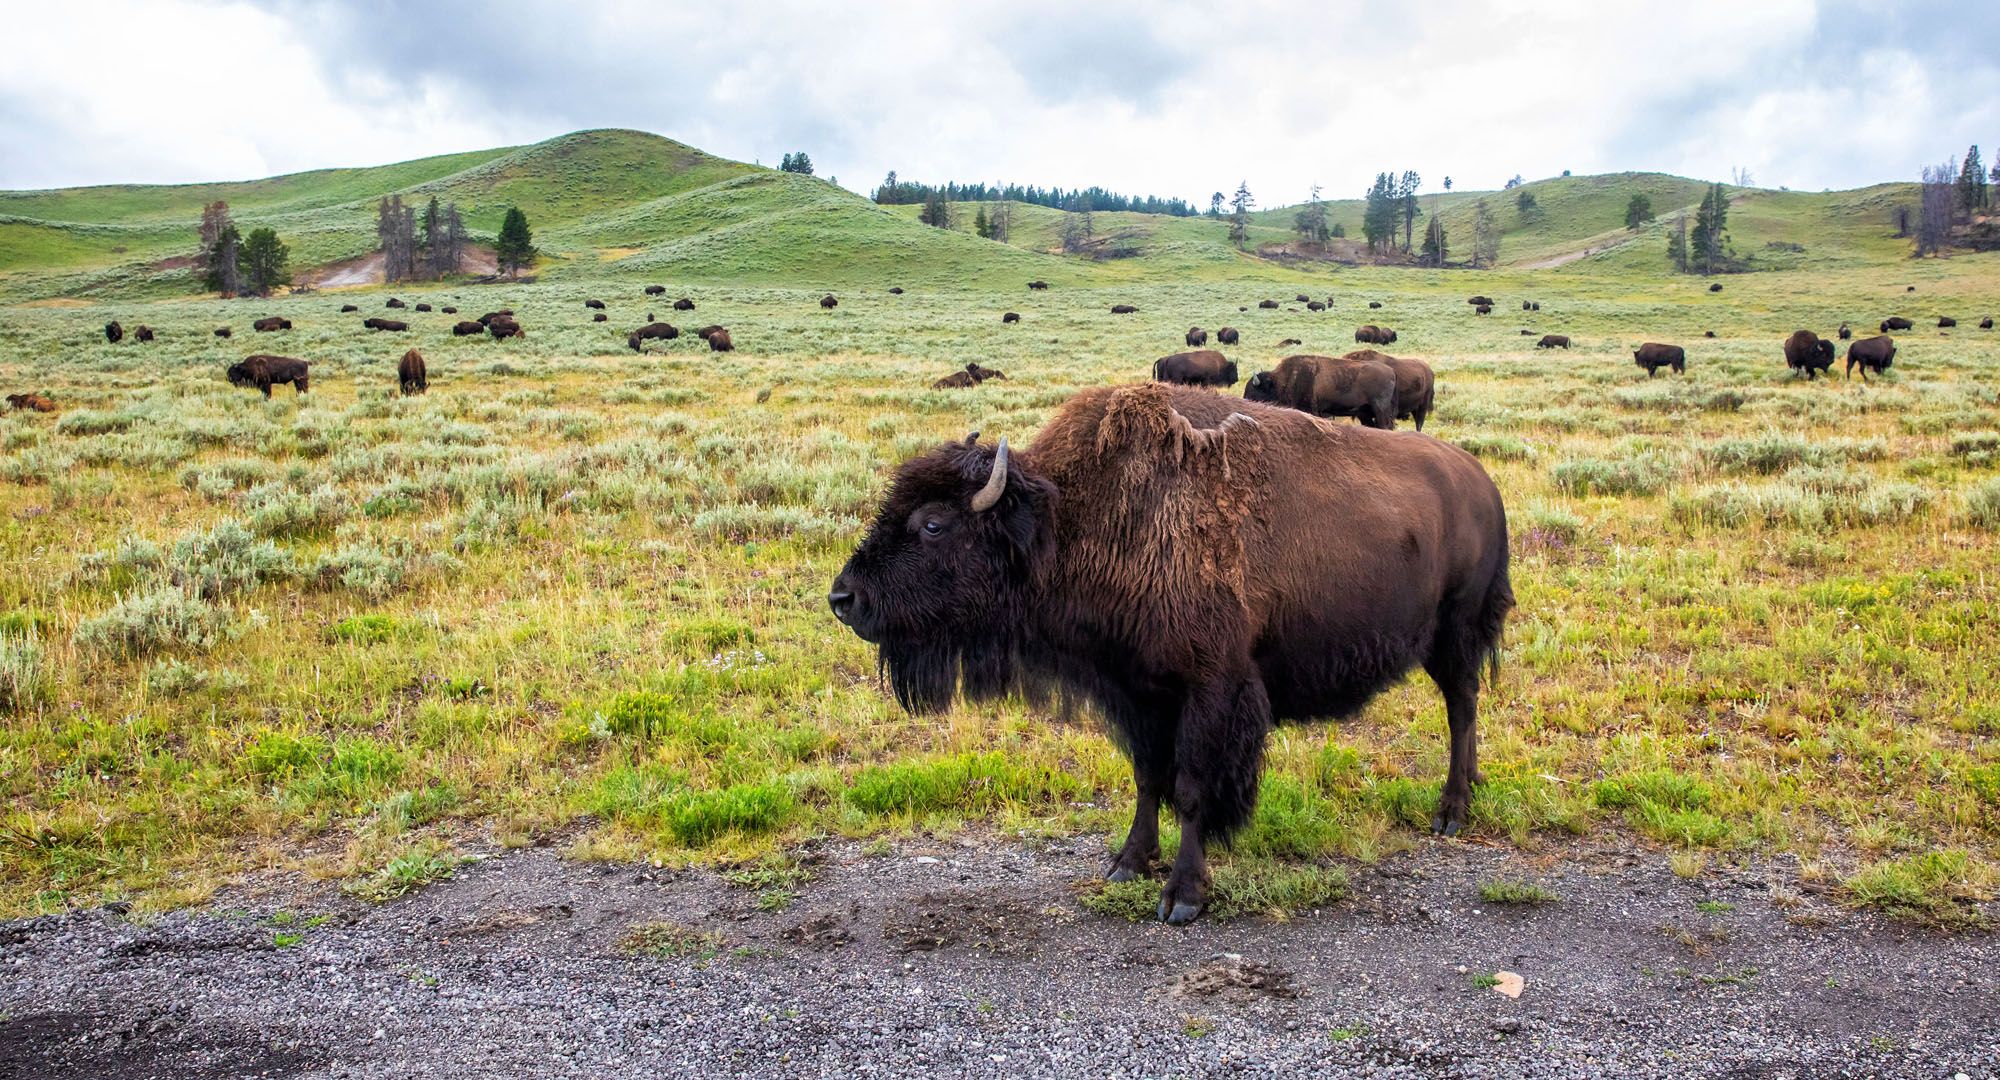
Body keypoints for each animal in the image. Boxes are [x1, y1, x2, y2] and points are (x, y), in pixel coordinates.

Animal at [832, 382, 1512, 920]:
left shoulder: (1209, 690)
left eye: (932, 524)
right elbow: (1147, 778)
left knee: (1461, 706)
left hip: (1454, 635)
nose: (844, 598)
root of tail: (1482, 482)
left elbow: (1189, 787)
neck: (1073, 520)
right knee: (1465, 708)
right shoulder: (1139, 694)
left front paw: (1183, 896)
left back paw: (1452, 811)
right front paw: (1128, 863)